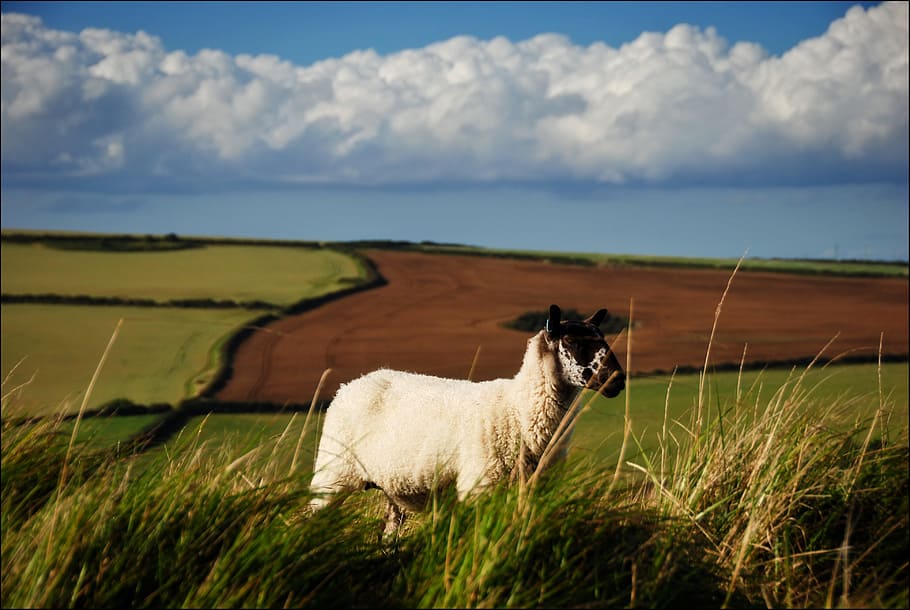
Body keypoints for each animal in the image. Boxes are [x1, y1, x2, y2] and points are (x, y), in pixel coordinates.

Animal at [309, 304, 625, 535]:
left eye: (604, 338)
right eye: (570, 341)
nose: (617, 380)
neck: (518, 410)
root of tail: (351, 384)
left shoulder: (534, 490)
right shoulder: (479, 487)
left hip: (389, 486)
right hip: (331, 475)